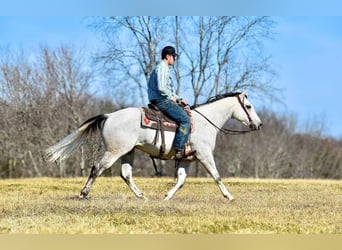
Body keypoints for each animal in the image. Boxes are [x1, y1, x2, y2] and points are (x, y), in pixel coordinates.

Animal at [44, 91, 262, 201]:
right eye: (248, 106)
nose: (258, 124)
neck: (205, 122)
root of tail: (108, 116)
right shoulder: (204, 155)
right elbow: (217, 176)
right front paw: (229, 196)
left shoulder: (187, 159)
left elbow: (181, 180)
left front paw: (167, 197)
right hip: (114, 151)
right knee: (96, 168)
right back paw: (84, 193)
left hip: (128, 152)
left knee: (126, 174)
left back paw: (141, 196)